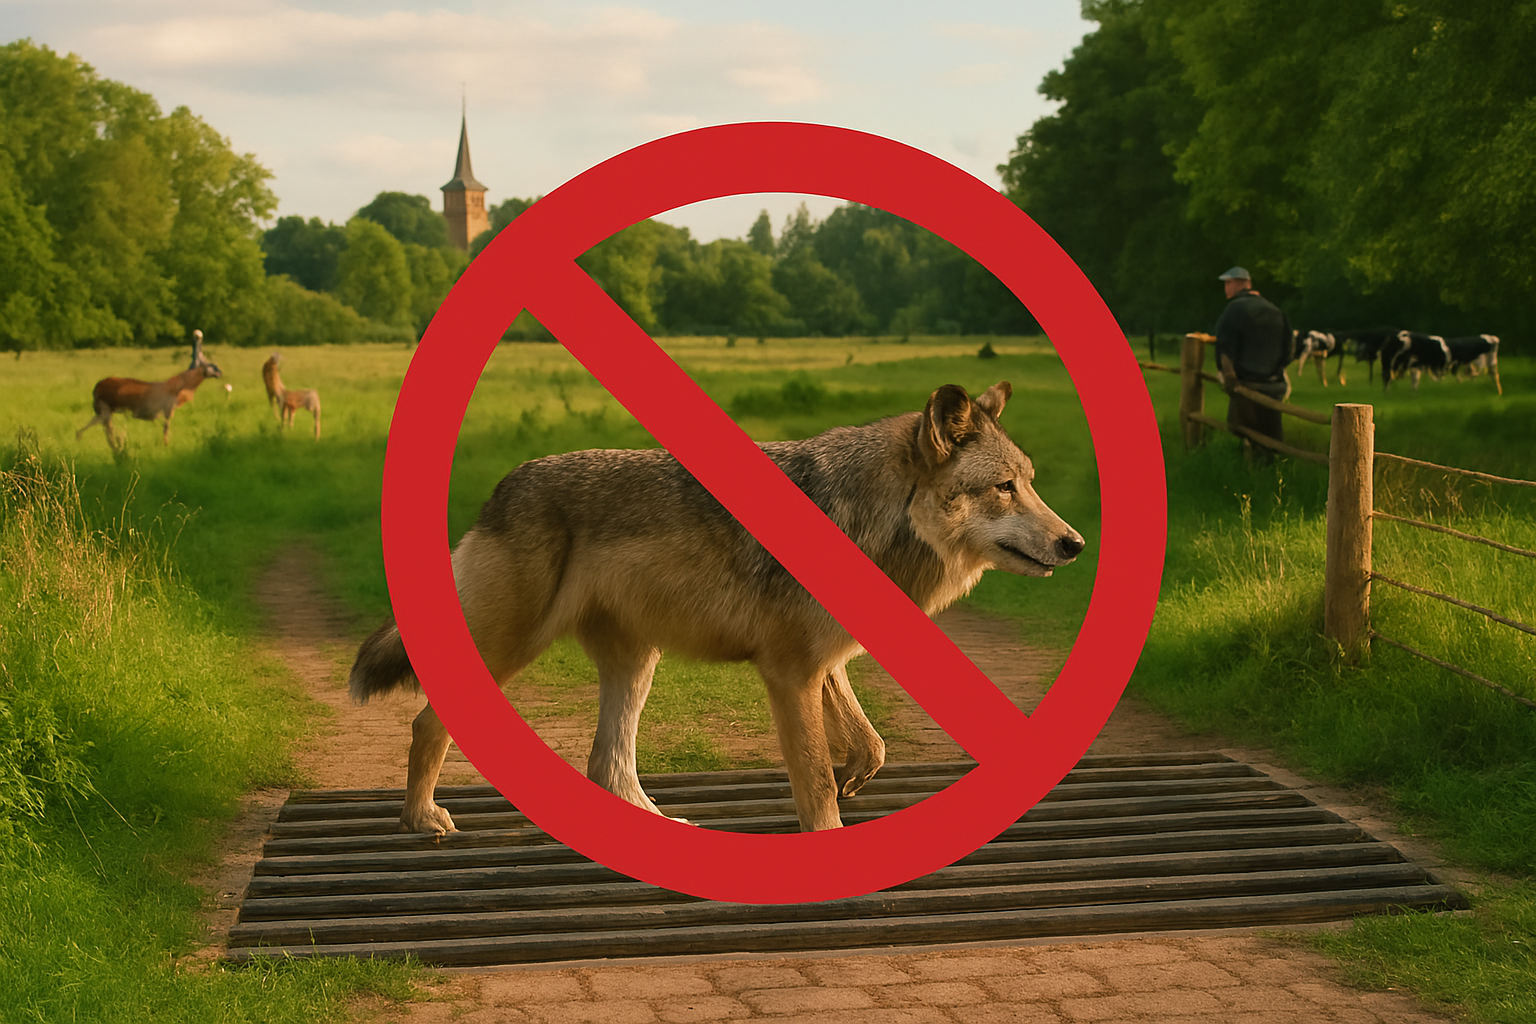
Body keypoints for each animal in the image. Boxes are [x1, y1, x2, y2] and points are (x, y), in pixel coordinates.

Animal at [349, 381, 1085, 834]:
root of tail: (501, 488)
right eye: (1004, 488)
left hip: (636, 665)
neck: (870, 518)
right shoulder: (789, 673)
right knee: (428, 724)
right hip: (513, 651)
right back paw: (421, 819)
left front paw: (856, 775)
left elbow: (869, 745)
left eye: (1031, 484)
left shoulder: (823, 664)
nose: (1075, 543)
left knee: (607, 766)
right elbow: (816, 783)